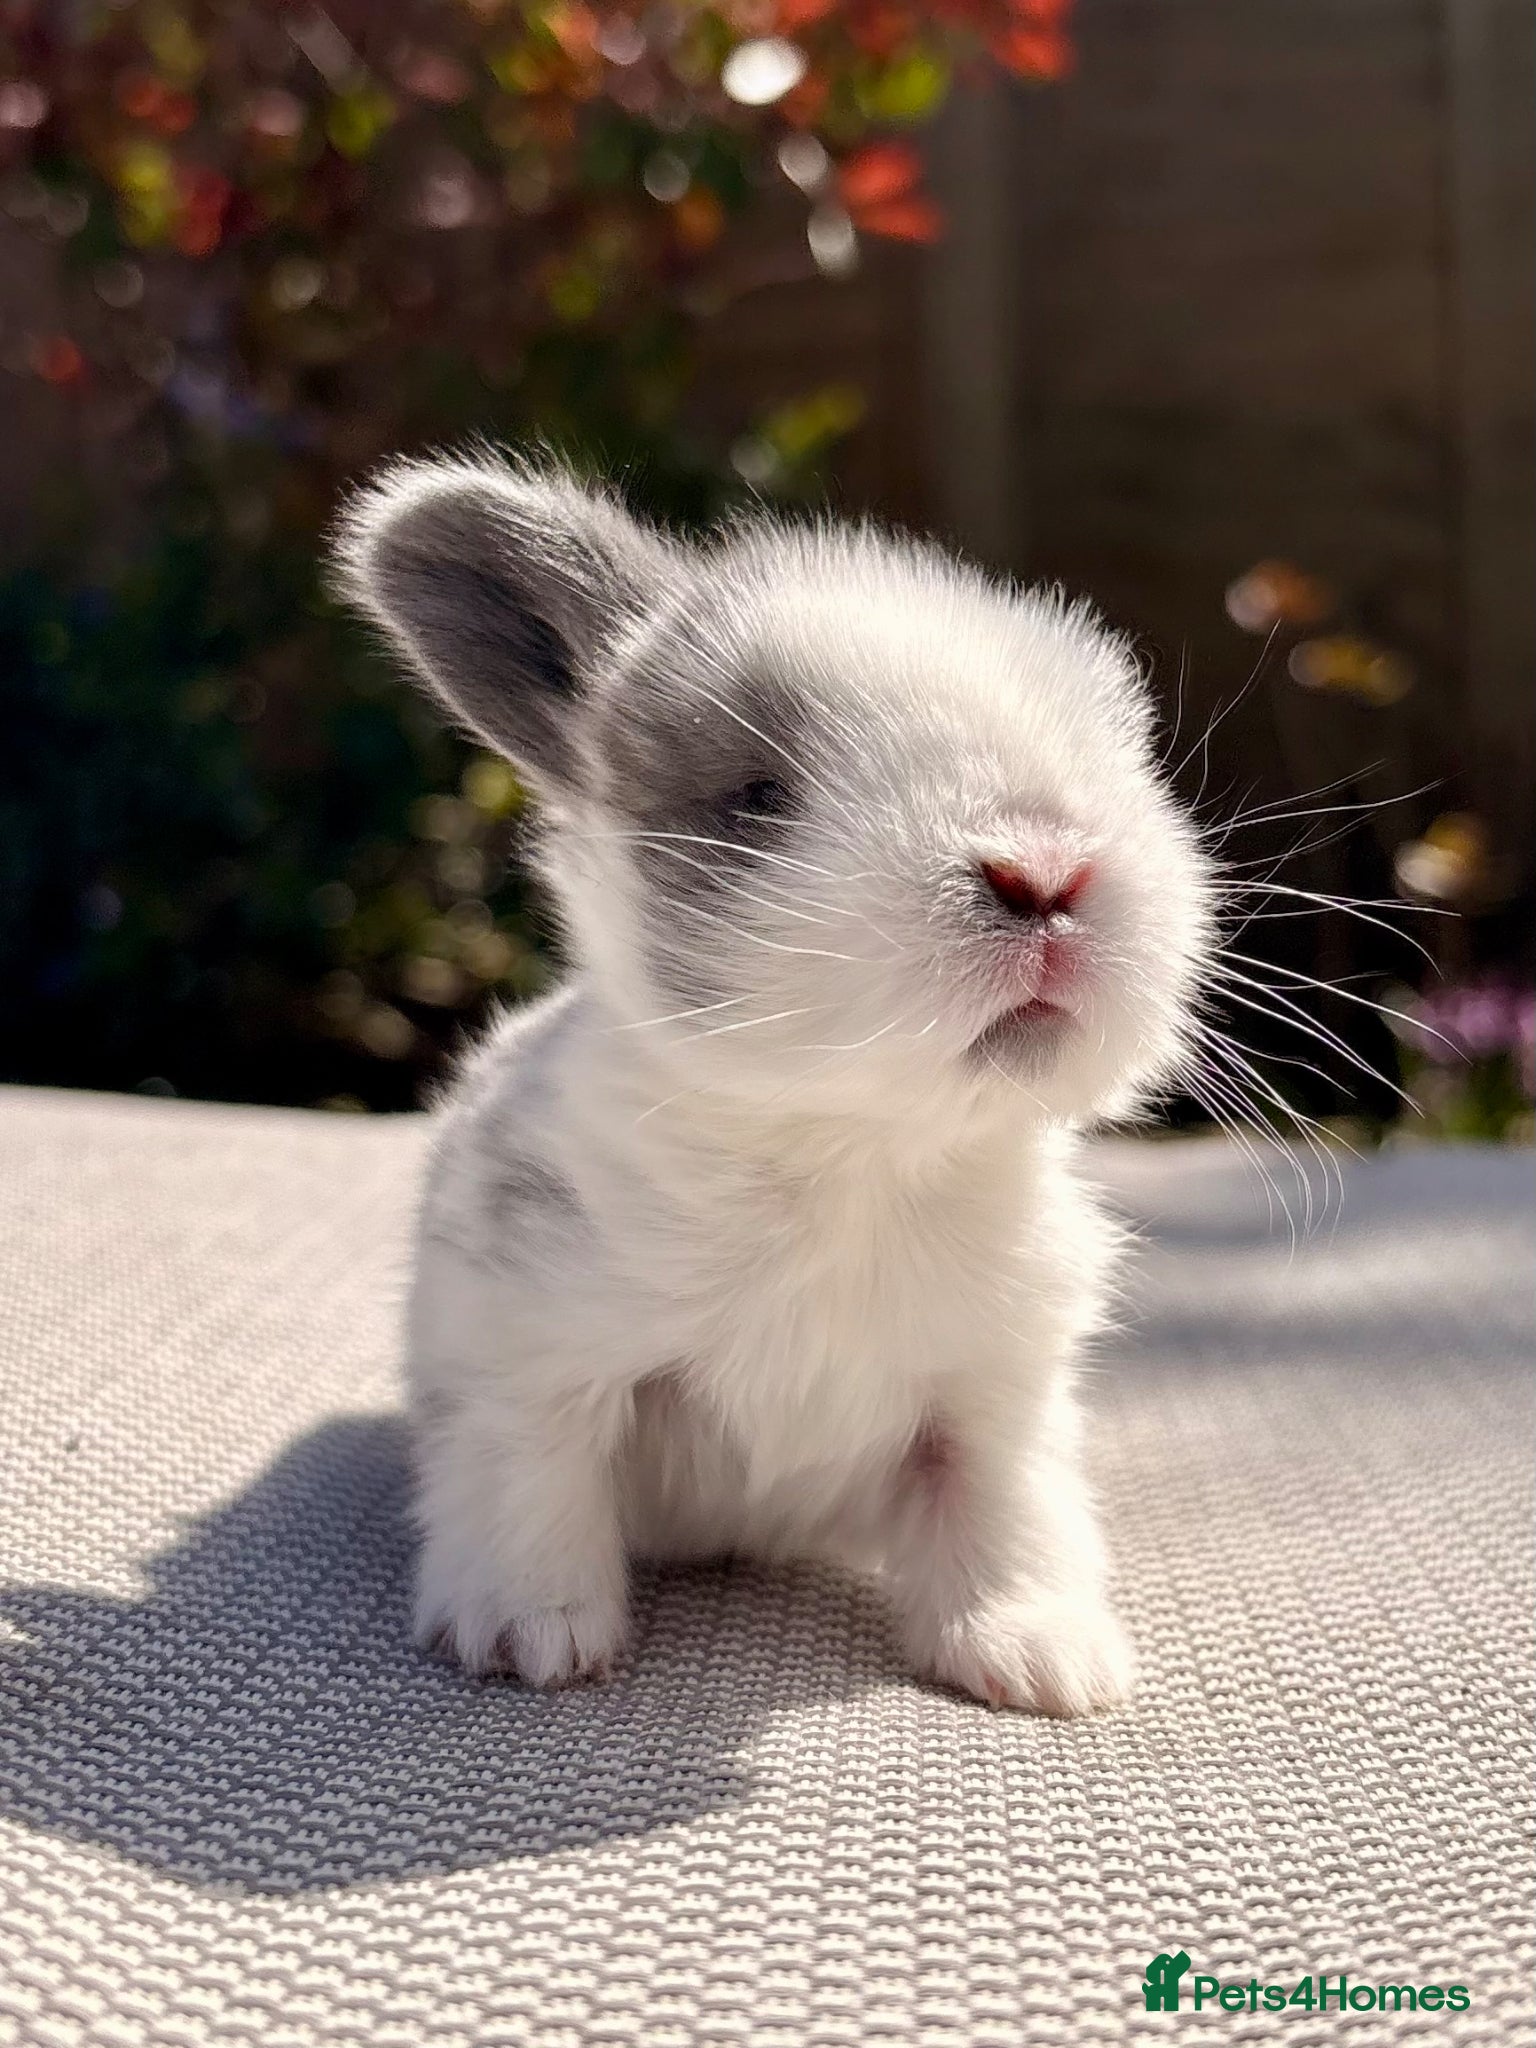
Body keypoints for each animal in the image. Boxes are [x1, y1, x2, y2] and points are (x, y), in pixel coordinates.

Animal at [333, 453, 1214, 1714]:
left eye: (1128, 758)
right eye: (757, 795)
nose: (1045, 870)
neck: (849, 1159)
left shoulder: (996, 1396)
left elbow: (1008, 1512)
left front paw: (1038, 1656)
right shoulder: (530, 1356)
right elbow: (531, 1482)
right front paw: (530, 1637)